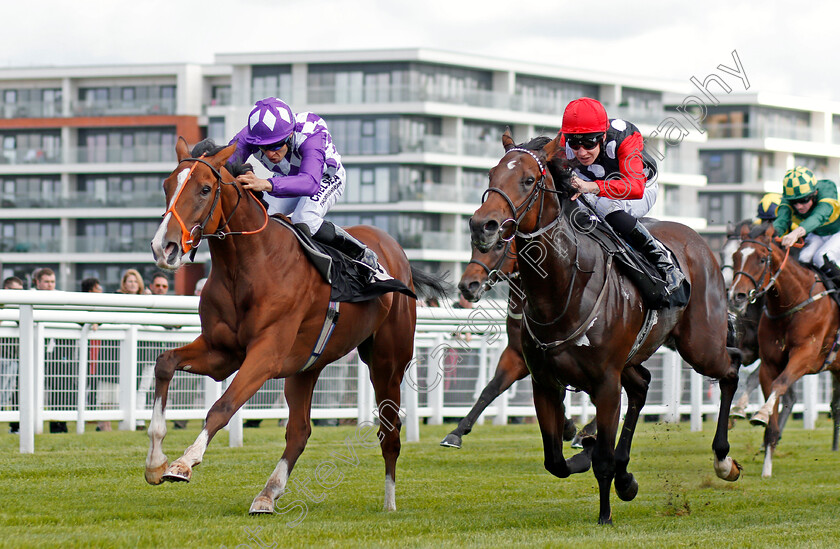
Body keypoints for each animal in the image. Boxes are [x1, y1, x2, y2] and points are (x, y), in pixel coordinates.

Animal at [146, 138, 446, 512]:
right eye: (166, 186)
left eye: (204, 189)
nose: (164, 247)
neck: (250, 261)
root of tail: (398, 255)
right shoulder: (221, 353)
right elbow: (165, 363)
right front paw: (155, 462)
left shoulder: (266, 354)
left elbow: (223, 406)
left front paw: (183, 463)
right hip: (306, 366)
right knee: (300, 430)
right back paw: (267, 493)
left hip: (387, 361)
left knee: (389, 431)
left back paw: (389, 504)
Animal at [470, 131, 740, 524]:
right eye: (491, 175)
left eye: (528, 180)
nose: (482, 226)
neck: (563, 290)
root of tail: (701, 242)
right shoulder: (544, 383)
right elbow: (556, 462)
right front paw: (592, 455)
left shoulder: (605, 383)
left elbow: (601, 461)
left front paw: (604, 516)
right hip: (636, 358)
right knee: (642, 386)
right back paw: (626, 475)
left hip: (700, 345)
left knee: (732, 366)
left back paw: (723, 459)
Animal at [728, 224, 840, 476]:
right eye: (735, 256)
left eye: (762, 259)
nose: (737, 296)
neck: (792, 304)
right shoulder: (768, 363)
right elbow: (770, 396)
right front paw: (766, 467)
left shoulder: (805, 356)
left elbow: (780, 384)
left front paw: (758, 412)